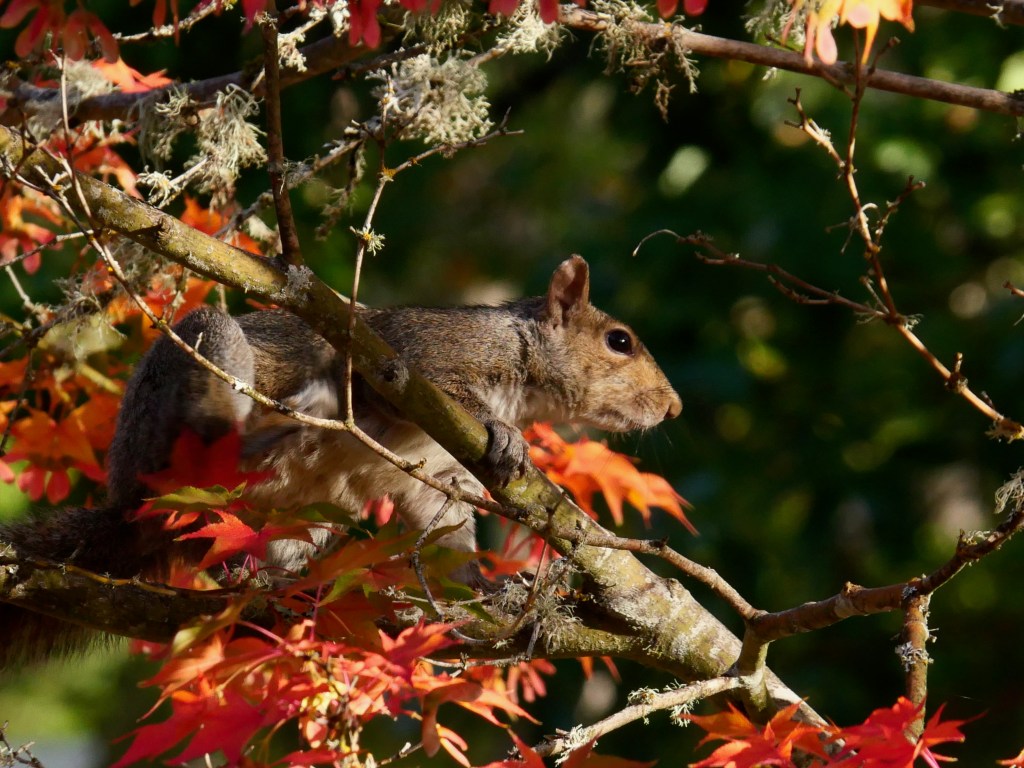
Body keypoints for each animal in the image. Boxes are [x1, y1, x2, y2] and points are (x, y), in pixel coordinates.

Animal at [0, 255, 681, 666]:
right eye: (619, 342)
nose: (673, 407)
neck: (520, 373)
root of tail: (127, 506)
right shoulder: (416, 360)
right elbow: (435, 388)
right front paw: (504, 433)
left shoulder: (441, 475)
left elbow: (445, 530)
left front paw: (486, 592)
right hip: (191, 387)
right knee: (212, 439)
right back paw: (284, 424)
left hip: (294, 522)